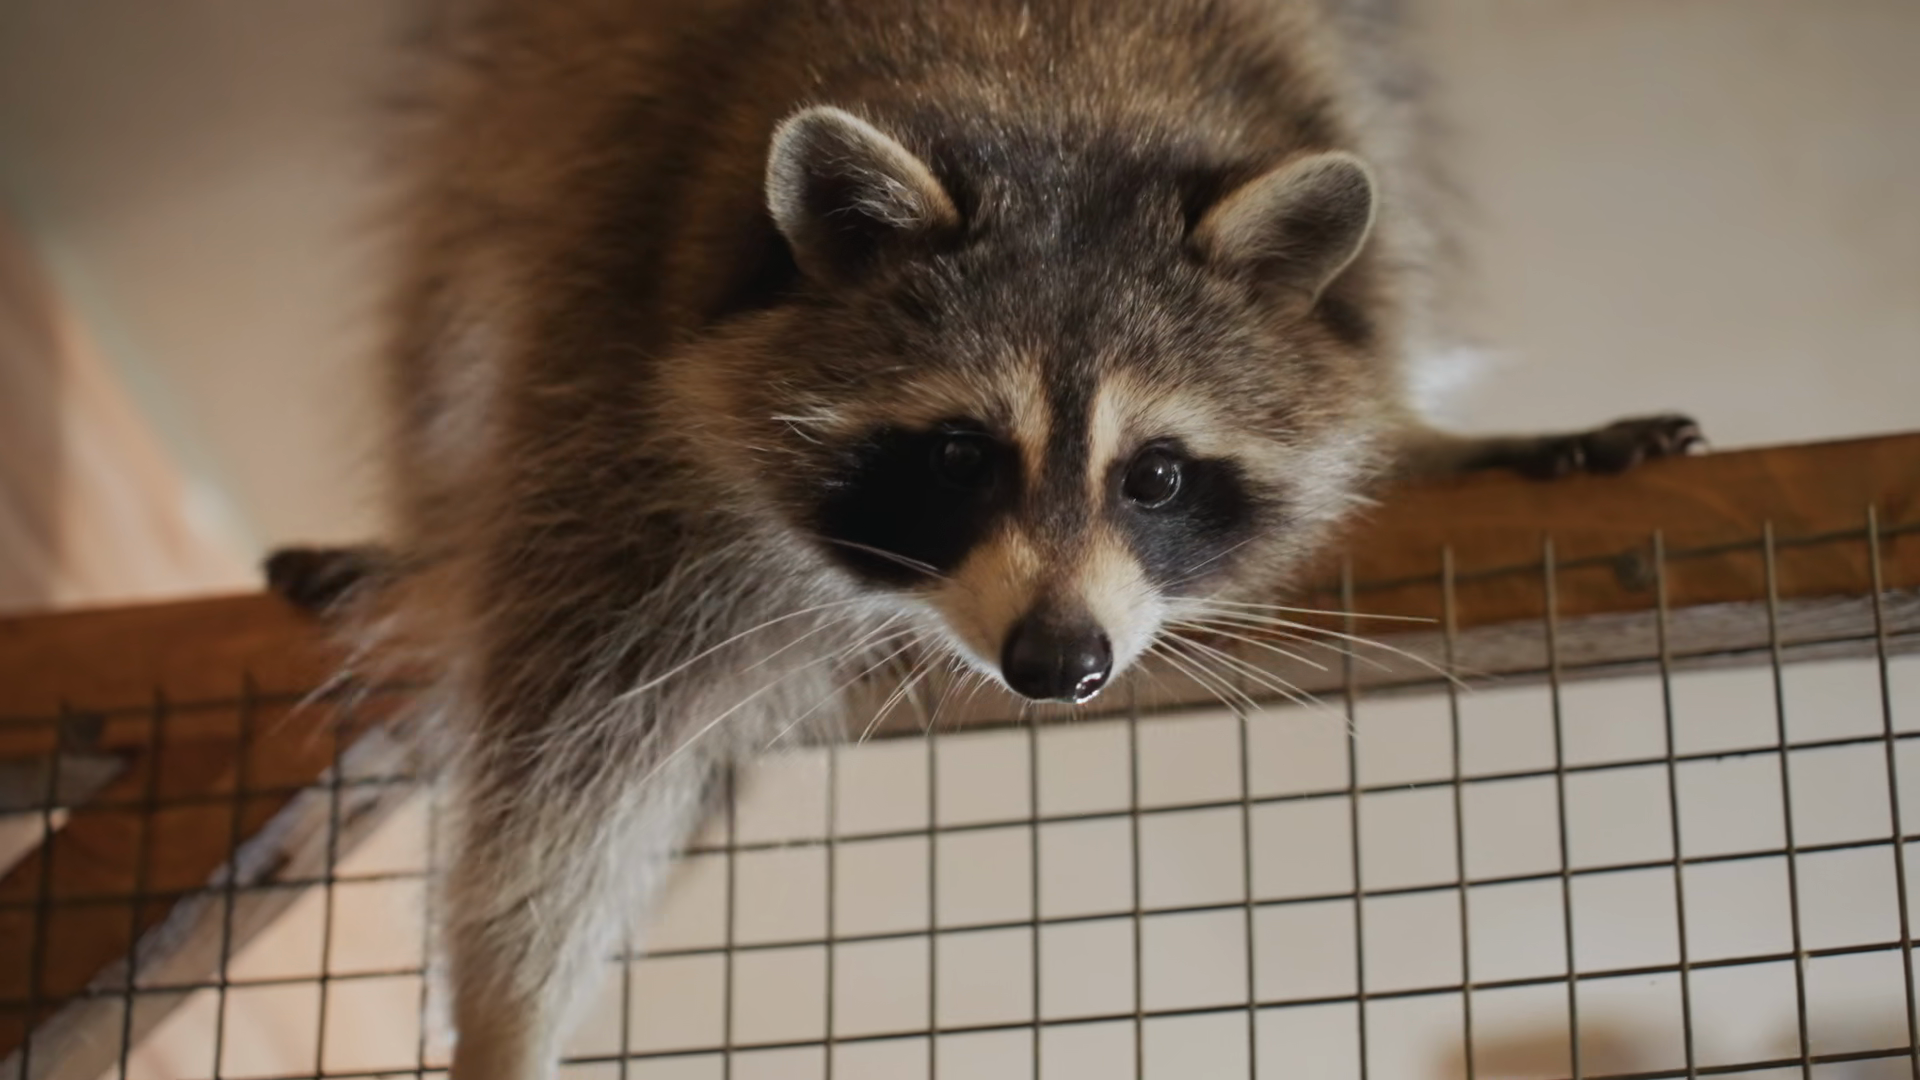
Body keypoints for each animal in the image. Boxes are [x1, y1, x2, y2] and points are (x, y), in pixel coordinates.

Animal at [270, 0, 1700, 1074]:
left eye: (1157, 476)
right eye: (960, 457)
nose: (1057, 661)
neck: (1064, 92)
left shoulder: (1343, 138)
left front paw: (1426, 434)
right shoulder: (623, 293)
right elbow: (569, 728)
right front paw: (506, 1016)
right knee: (447, 299)